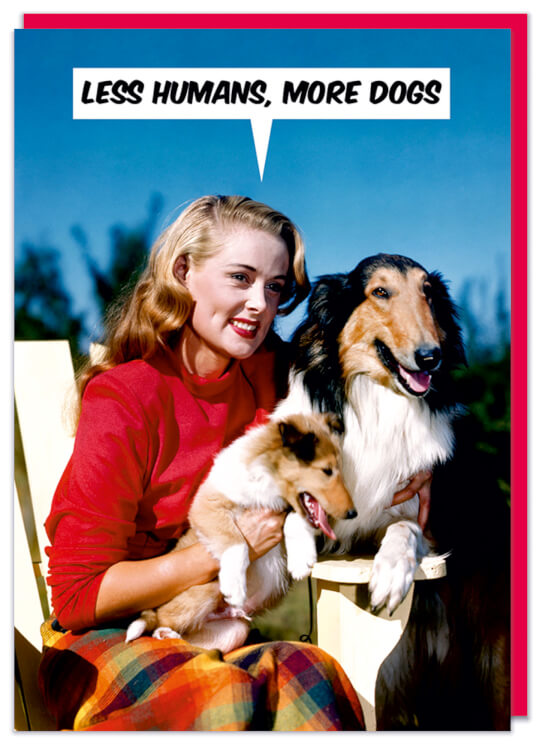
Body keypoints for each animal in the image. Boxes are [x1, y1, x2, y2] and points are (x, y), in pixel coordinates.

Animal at [124, 414, 356, 656]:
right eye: (326, 470)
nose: (352, 513)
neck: (266, 478)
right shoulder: (208, 505)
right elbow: (236, 543)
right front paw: (235, 587)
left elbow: (296, 518)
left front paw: (301, 561)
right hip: (205, 590)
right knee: (159, 621)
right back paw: (165, 632)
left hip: (235, 630)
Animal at [274, 254, 510, 728]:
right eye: (379, 292)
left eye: (429, 294)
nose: (430, 357)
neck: (378, 401)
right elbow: (297, 509)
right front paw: (301, 549)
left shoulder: (423, 517)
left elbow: (403, 530)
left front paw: (389, 574)